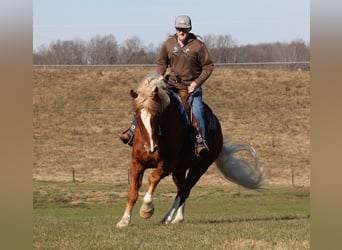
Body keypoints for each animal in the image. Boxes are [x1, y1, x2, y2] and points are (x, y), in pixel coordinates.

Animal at [116, 73, 264, 228]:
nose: (151, 148)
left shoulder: (167, 165)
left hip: (199, 168)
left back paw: (167, 218)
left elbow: (153, 178)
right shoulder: (137, 163)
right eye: (137, 116)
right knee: (181, 190)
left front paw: (146, 210)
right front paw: (124, 220)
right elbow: (132, 193)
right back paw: (178, 218)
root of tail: (219, 133)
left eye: (157, 115)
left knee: (184, 192)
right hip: (180, 171)